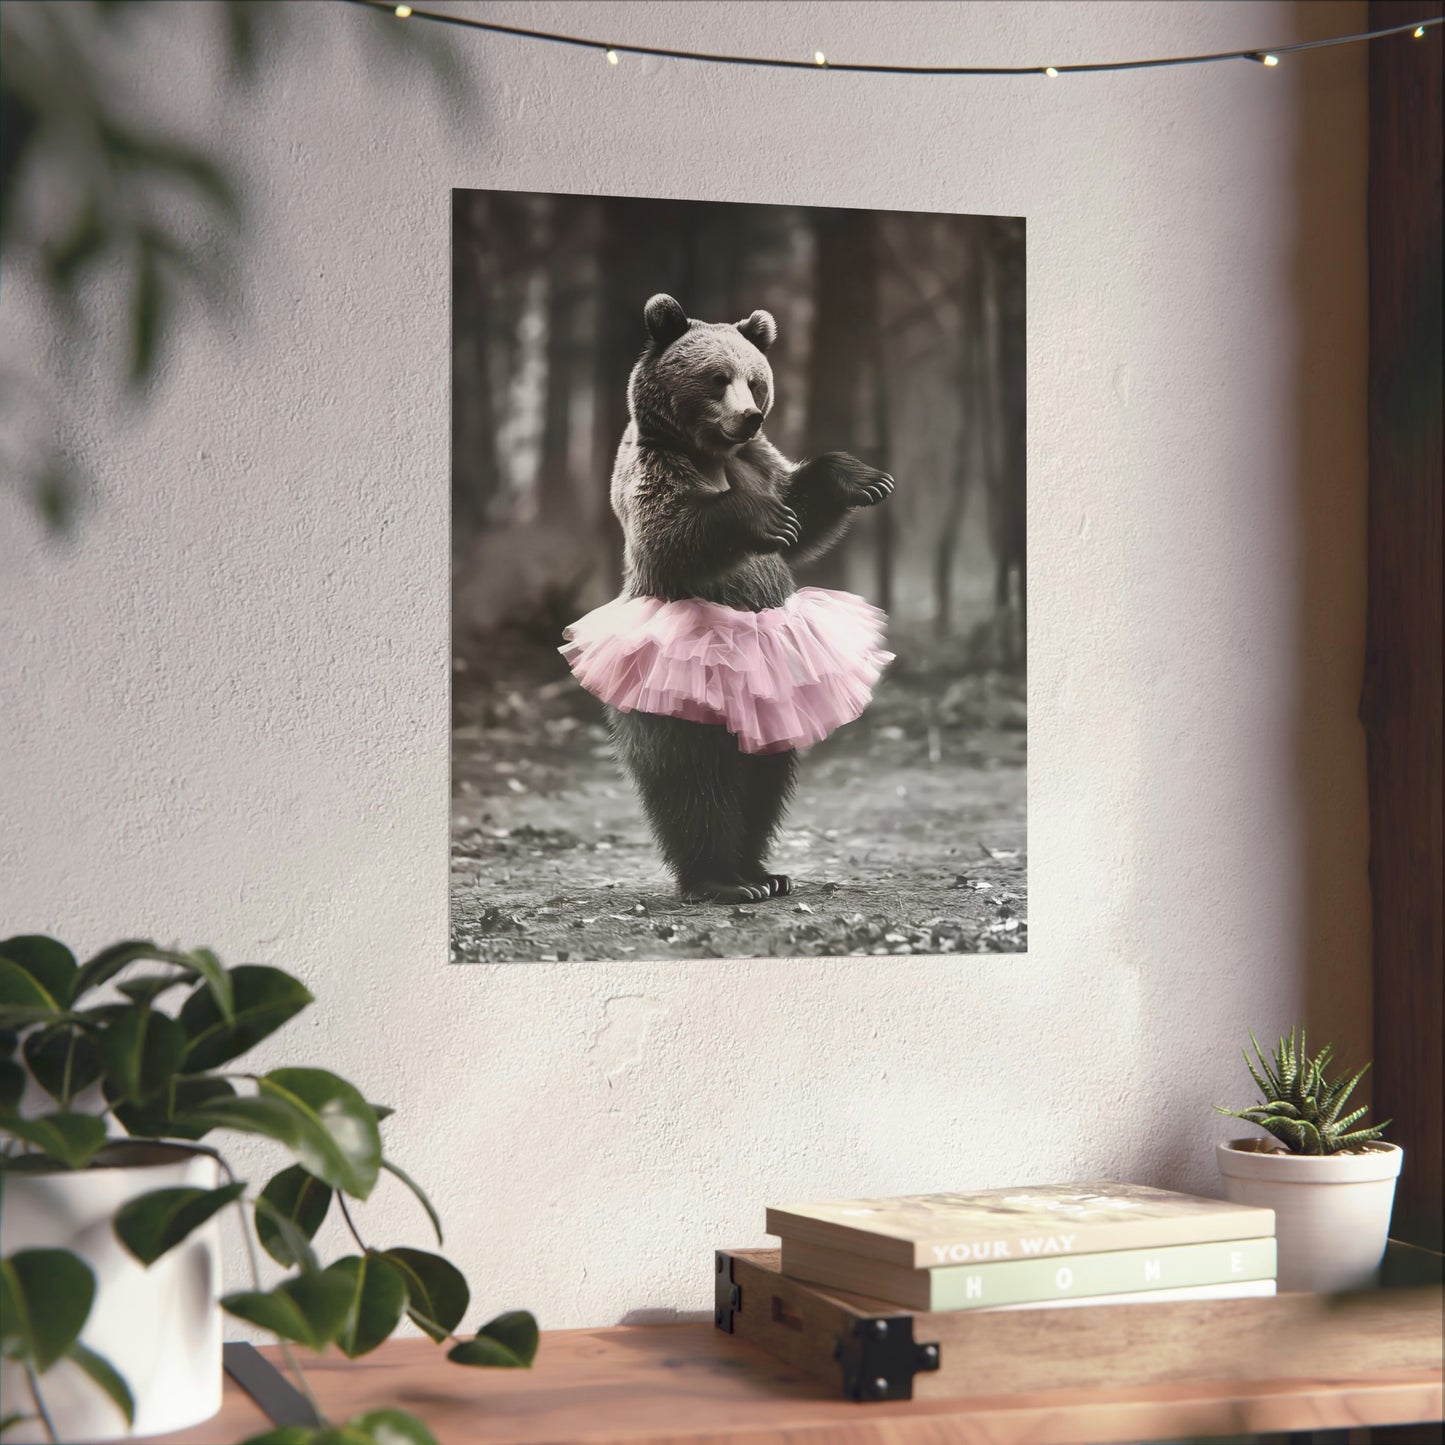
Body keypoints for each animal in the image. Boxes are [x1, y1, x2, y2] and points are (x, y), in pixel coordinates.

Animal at [595, 293, 895, 904]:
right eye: (716, 379)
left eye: (755, 381)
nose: (750, 416)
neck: (711, 450)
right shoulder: (653, 469)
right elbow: (674, 531)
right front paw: (761, 518)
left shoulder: (759, 461)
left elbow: (802, 513)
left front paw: (864, 479)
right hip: (676, 691)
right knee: (690, 775)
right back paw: (719, 880)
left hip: (778, 694)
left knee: (767, 776)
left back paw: (762, 872)